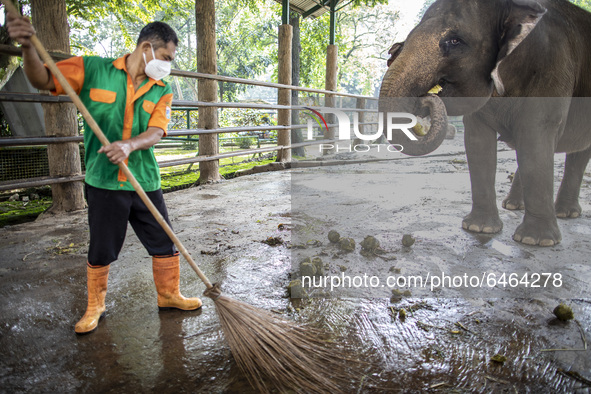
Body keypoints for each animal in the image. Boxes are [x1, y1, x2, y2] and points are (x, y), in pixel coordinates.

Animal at [380, 0, 591, 246]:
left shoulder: (553, 70)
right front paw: (479, 228)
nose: (427, 96)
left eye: (455, 41)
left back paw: (564, 213)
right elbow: (478, 143)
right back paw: (515, 206)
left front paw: (535, 241)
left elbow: (536, 138)